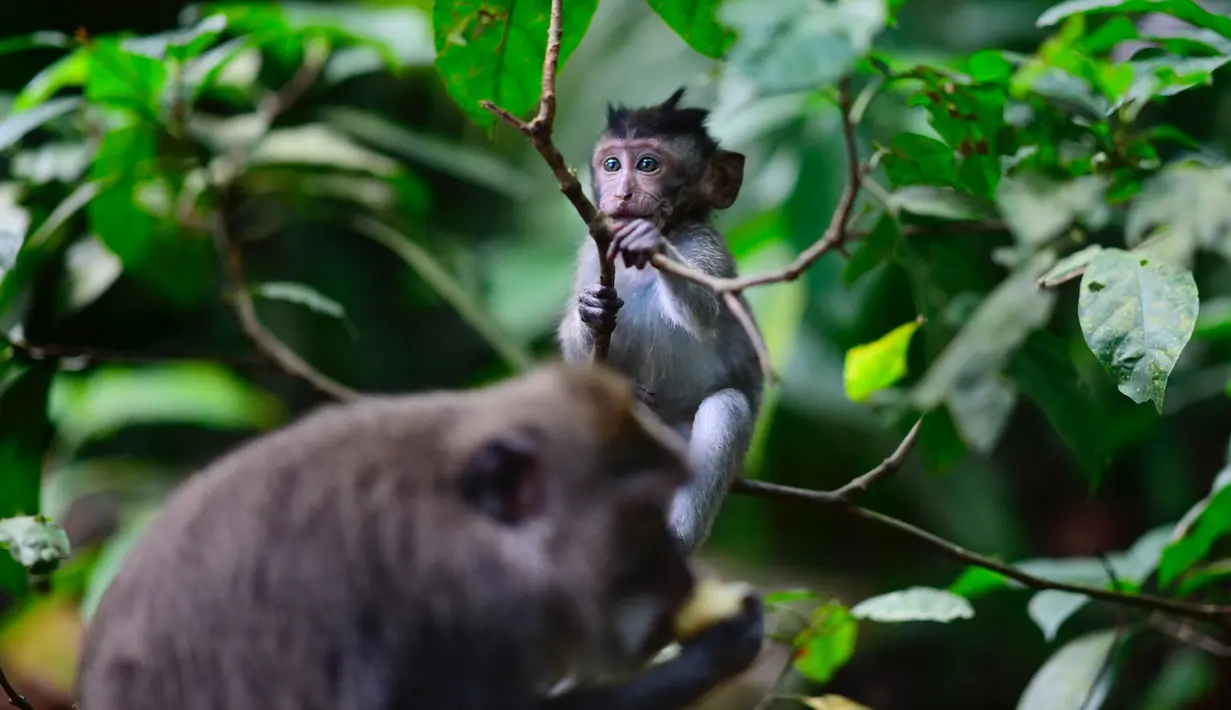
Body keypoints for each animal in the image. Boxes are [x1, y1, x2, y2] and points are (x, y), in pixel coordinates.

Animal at [558, 87, 763, 555]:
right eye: (612, 165)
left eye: (648, 165)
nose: (622, 194)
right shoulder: (591, 250)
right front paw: (589, 314)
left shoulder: (704, 244)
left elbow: (705, 310)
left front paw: (648, 241)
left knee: (726, 408)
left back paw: (675, 539)